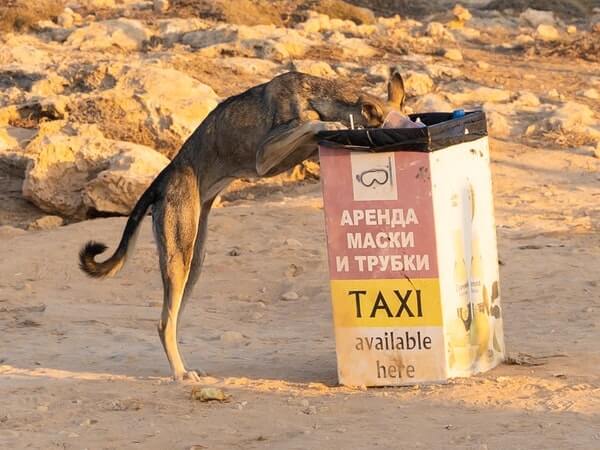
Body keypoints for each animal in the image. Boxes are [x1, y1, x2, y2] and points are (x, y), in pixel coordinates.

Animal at [78, 72, 408, 382]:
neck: (316, 94)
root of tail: (163, 176)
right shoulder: (265, 155)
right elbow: (311, 124)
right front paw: (328, 124)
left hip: (193, 261)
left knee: (171, 319)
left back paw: (185, 367)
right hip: (178, 257)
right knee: (163, 323)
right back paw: (180, 373)